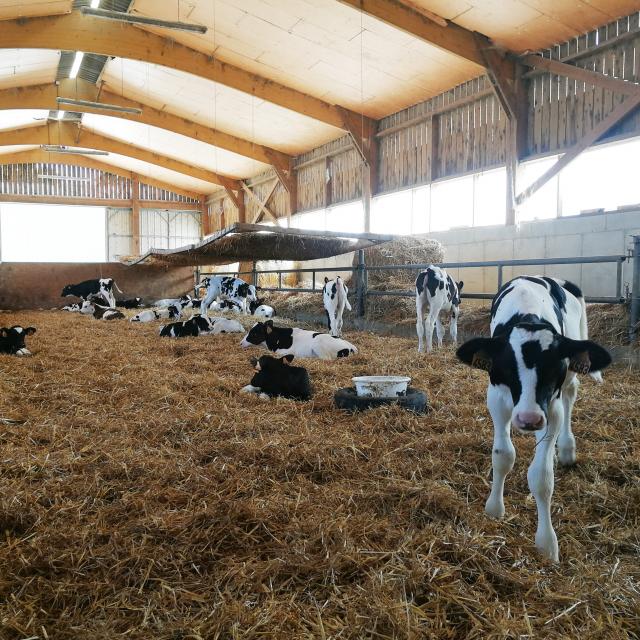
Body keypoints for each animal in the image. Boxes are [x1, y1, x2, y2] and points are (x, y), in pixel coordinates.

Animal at [456, 276, 608, 560]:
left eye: (554, 367)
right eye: (507, 366)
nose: (529, 419)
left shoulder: (551, 409)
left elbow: (542, 477)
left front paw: (547, 543)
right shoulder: (496, 398)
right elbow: (503, 455)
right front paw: (494, 508)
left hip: (571, 375)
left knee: (571, 394)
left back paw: (567, 450)